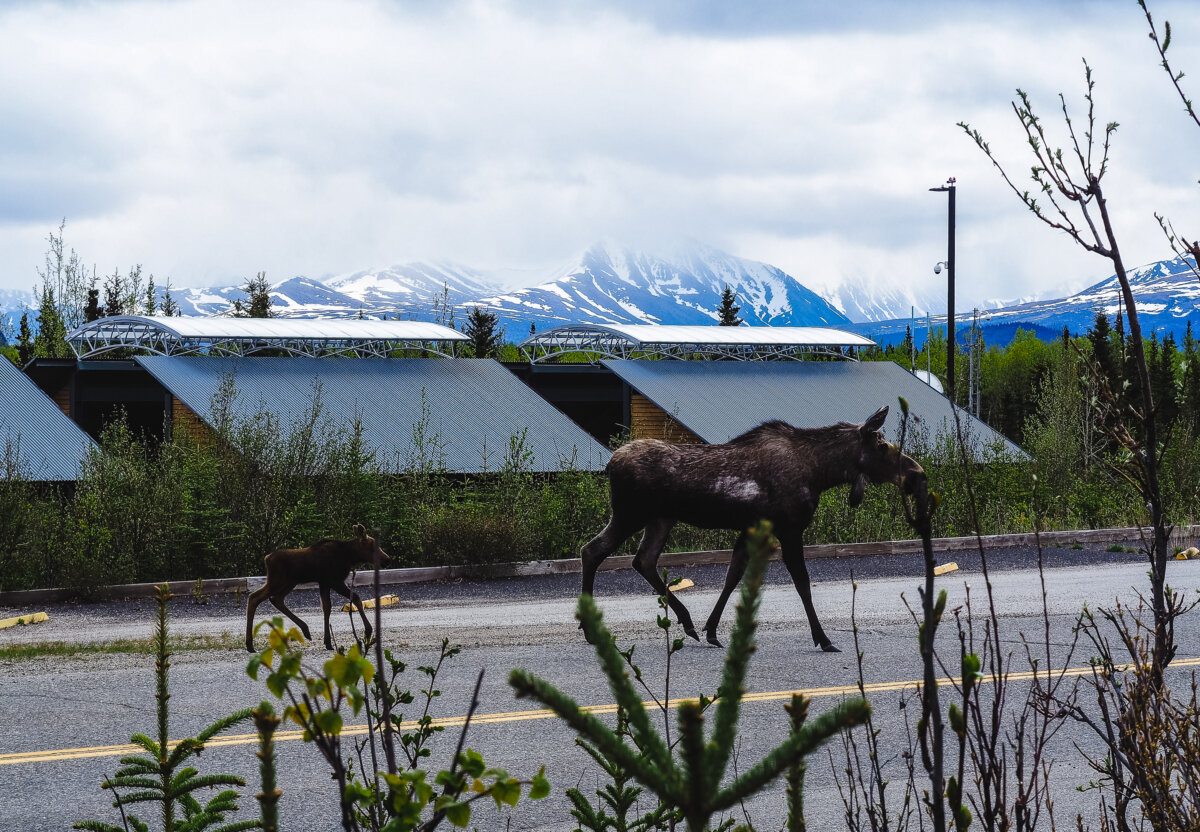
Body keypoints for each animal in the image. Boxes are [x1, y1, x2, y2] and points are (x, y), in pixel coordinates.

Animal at [245, 523, 392, 652]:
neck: (349, 557)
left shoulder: (324, 583)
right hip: (277, 581)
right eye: (372, 546)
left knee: (276, 599)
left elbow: (326, 607)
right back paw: (250, 644)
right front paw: (368, 631)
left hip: (288, 583)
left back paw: (305, 629)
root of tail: (266, 558)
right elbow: (355, 598)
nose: (387, 560)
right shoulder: (334, 581)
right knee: (254, 597)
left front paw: (328, 642)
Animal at [580, 406, 925, 652]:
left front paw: (712, 630)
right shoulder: (789, 528)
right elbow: (802, 582)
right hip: (630, 514)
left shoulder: (751, 528)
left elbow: (733, 575)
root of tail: (610, 463)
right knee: (593, 551)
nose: (916, 473)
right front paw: (823, 638)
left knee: (643, 560)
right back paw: (590, 629)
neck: (821, 472)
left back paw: (687, 622)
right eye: (881, 444)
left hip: (660, 519)